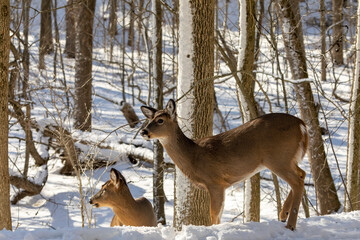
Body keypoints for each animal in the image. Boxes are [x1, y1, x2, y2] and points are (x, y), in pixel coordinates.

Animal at [139, 99, 308, 231]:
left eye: (160, 120)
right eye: (149, 120)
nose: (143, 131)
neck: (193, 156)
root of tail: (302, 125)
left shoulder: (215, 182)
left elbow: (214, 214)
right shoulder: (221, 185)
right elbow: (218, 214)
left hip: (278, 158)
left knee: (297, 181)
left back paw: (290, 225)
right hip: (287, 159)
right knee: (302, 174)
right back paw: (283, 215)